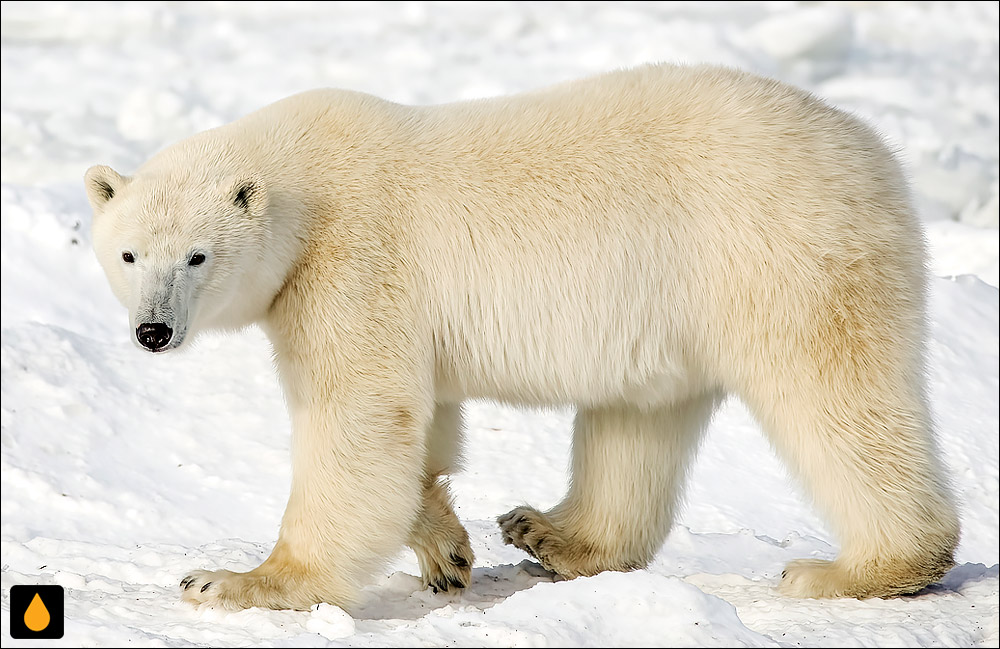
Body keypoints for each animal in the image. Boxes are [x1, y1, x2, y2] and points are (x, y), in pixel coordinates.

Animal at [86, 63, 960, 612]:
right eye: (128, 253)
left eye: (197, 255)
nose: (153, 329)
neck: (307, 181)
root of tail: (873, 152)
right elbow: (420, 425)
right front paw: (446, 550)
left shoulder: (350, 263)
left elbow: (357, 417)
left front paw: (233, 580)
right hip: (673, 300)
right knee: (639, 420)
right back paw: (552, 531)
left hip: (782, 255)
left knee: (834, 395)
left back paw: (860, 567)